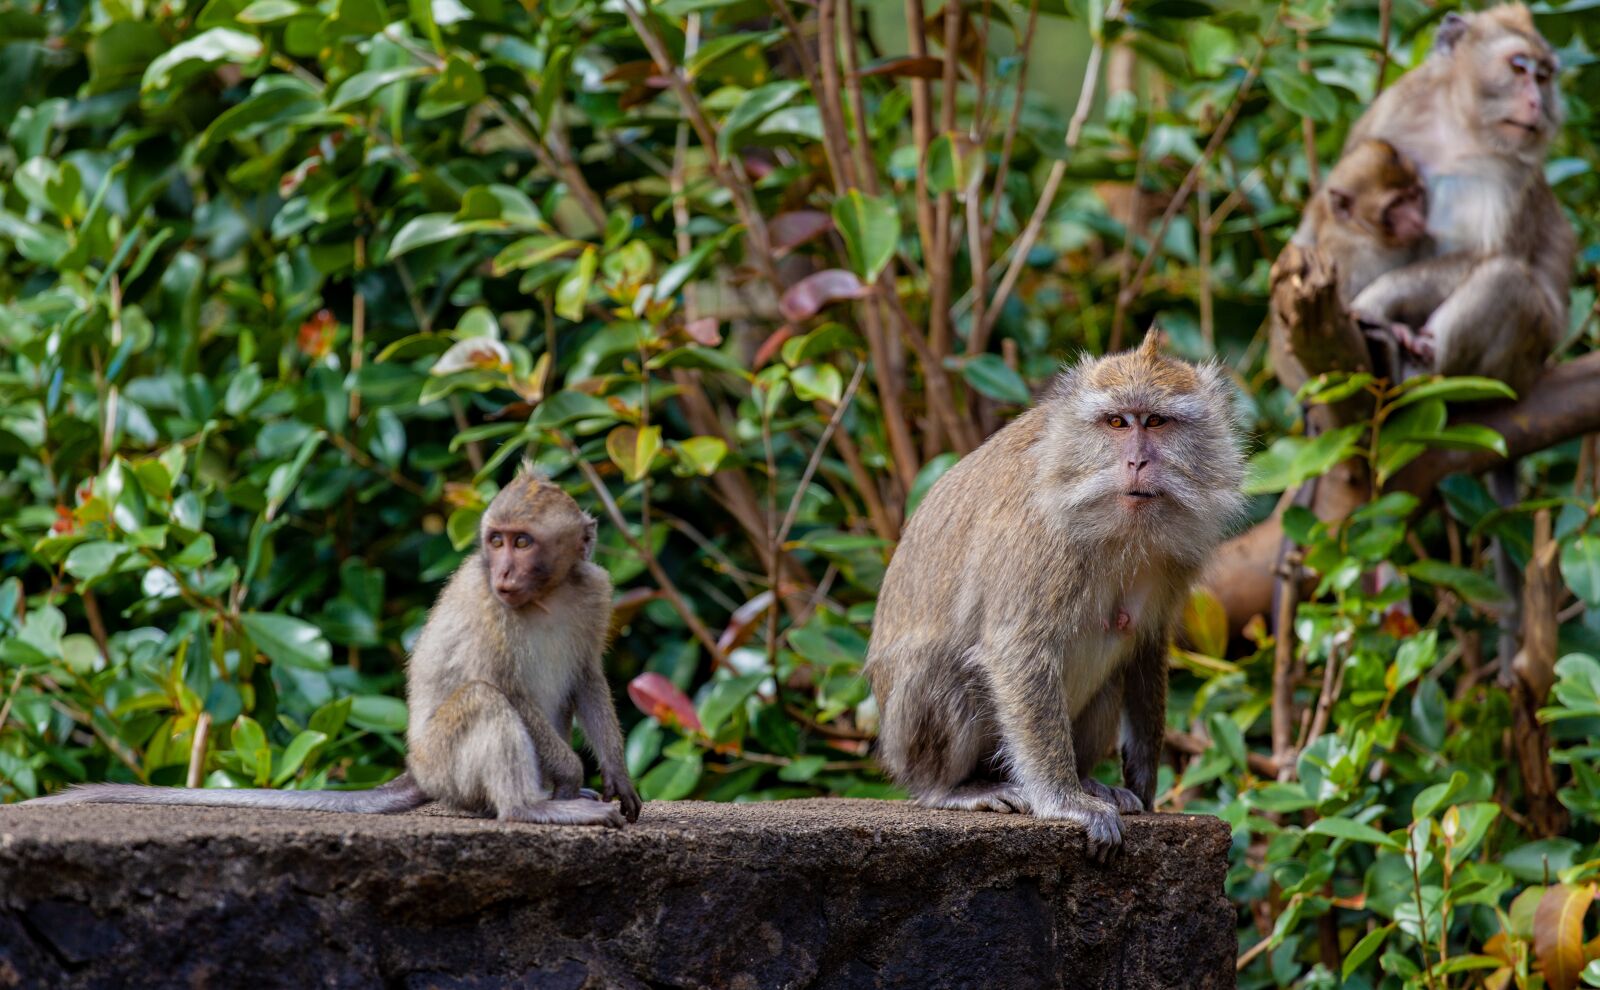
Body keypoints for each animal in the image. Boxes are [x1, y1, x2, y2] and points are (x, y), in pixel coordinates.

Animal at [28, 470, 640, 825]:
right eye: (497, 540)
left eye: (523, 541)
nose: (506, 571)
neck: (543, 597)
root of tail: (417, 771)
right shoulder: (489, 606)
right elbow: (503, 686)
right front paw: (573, 774)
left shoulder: (595, 591)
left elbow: (587, 676)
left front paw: (617, 777)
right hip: (445, 766)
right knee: (481, 699)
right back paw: (532, 808)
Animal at [864, 334, 1248, 857]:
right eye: (1116, 422)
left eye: (1156, 421)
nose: (1137, 462)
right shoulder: (1039, 536)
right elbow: (1016, 649)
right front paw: (1066, 803)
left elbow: (1146, 649)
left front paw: (1143, 785)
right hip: (908, 736)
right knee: (943, 666)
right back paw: (953, 789)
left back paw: (1087, 779)